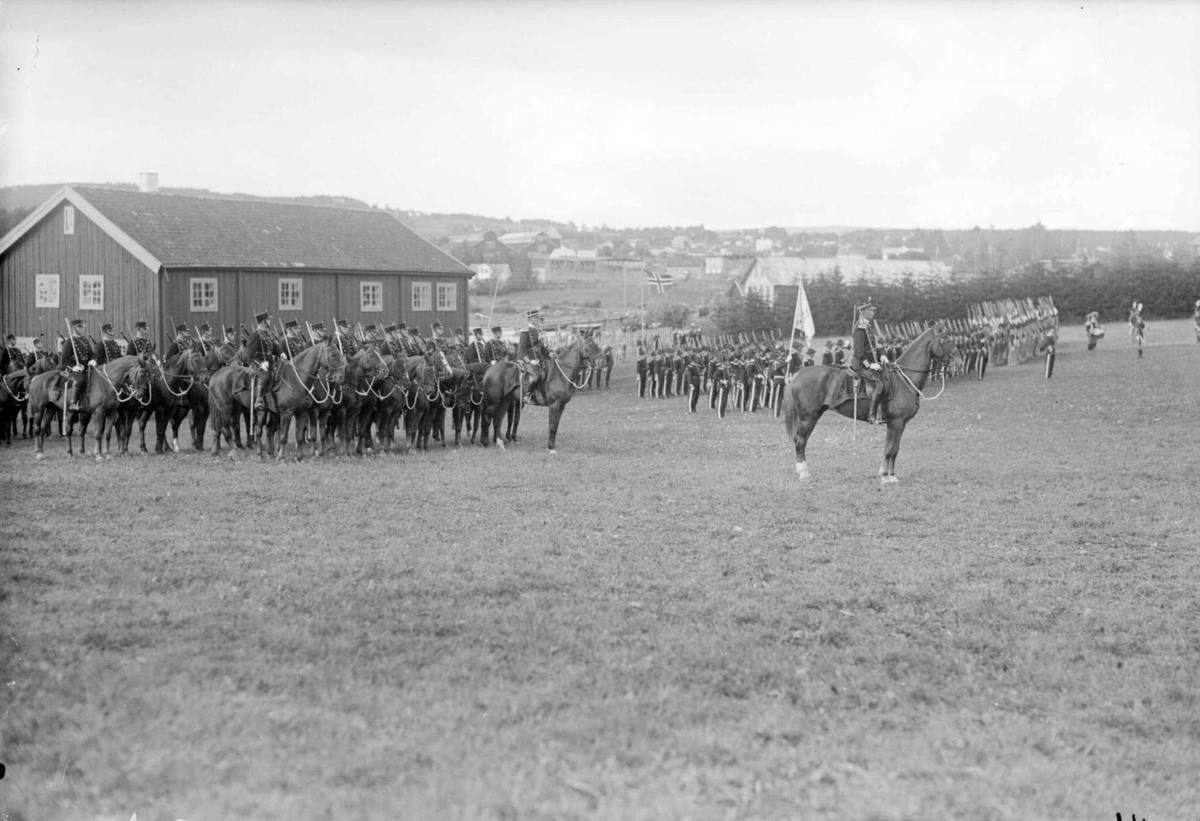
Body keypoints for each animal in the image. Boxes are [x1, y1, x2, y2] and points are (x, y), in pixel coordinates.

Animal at [777, 324, 955, 484]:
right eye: (946, 340)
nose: (958, 362)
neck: (904, 379)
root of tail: (798, 375)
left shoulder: (898, 424)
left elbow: (892, 448)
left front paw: (888, 474)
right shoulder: (896, 422)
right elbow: (891, 449)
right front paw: (887, 477)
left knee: (803, 441)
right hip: (807, 417)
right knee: (800, 441)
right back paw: (804, 473)